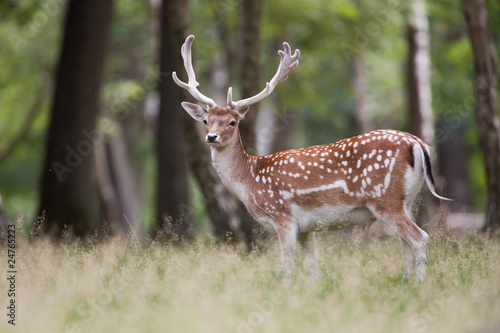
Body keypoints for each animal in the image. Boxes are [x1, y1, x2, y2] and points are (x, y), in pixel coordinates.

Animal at [174, 35, 452, 280]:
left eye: (232, 122)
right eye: (206, 121)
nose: (211, 137)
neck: (250, 179)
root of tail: (418, 144)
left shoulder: (283, 217)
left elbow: (287, 268)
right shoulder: (307, 228)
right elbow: (312, 269)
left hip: (386, 199)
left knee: (420, 239)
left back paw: (419, 285)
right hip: (407, 201)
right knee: (407, 245)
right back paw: (405, 283)